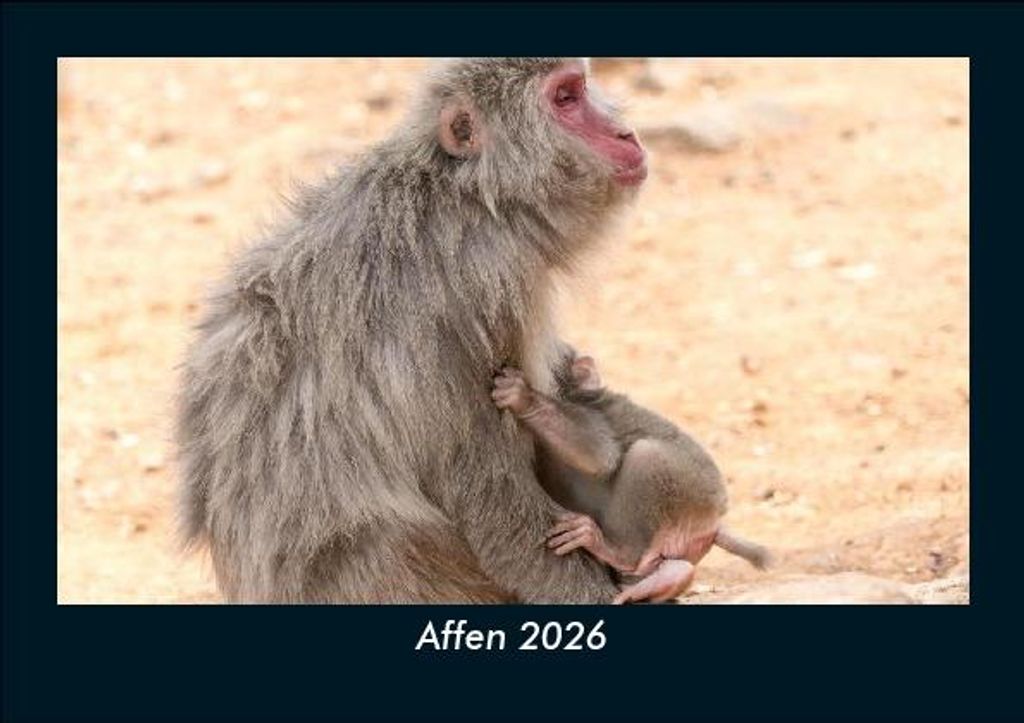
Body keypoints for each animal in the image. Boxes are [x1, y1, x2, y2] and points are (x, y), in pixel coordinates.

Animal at [176, 58, 651, 603]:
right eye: (566, 99)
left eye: (581, 86)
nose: (625, 133)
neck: (471, 196)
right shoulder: (485, 289)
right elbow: (486, 493)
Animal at [491, 352, 771, 604]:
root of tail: (714, 522)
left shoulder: (592, 412)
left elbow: (599, 454)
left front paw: (524, 398)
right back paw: (665, 579)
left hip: (695, 491)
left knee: (647, 456)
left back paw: (616, 552)